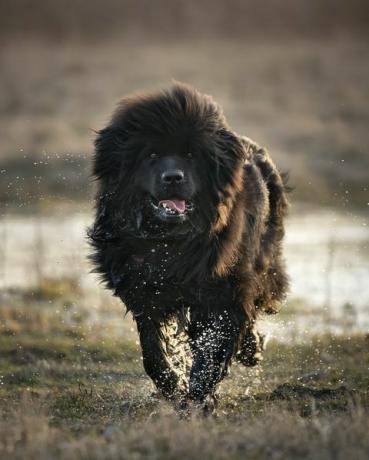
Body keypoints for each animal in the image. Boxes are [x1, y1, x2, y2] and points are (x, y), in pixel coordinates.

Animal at [88, 82, 288, 414]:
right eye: (151, 155)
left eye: (192, 156)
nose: (173, 177)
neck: (171, 242)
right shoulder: (143, 289)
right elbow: (153, 352)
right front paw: (172, 386)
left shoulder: (224, 291)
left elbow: (213, 350)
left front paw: (197, 398)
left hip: (262, 261)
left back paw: (251, 349)